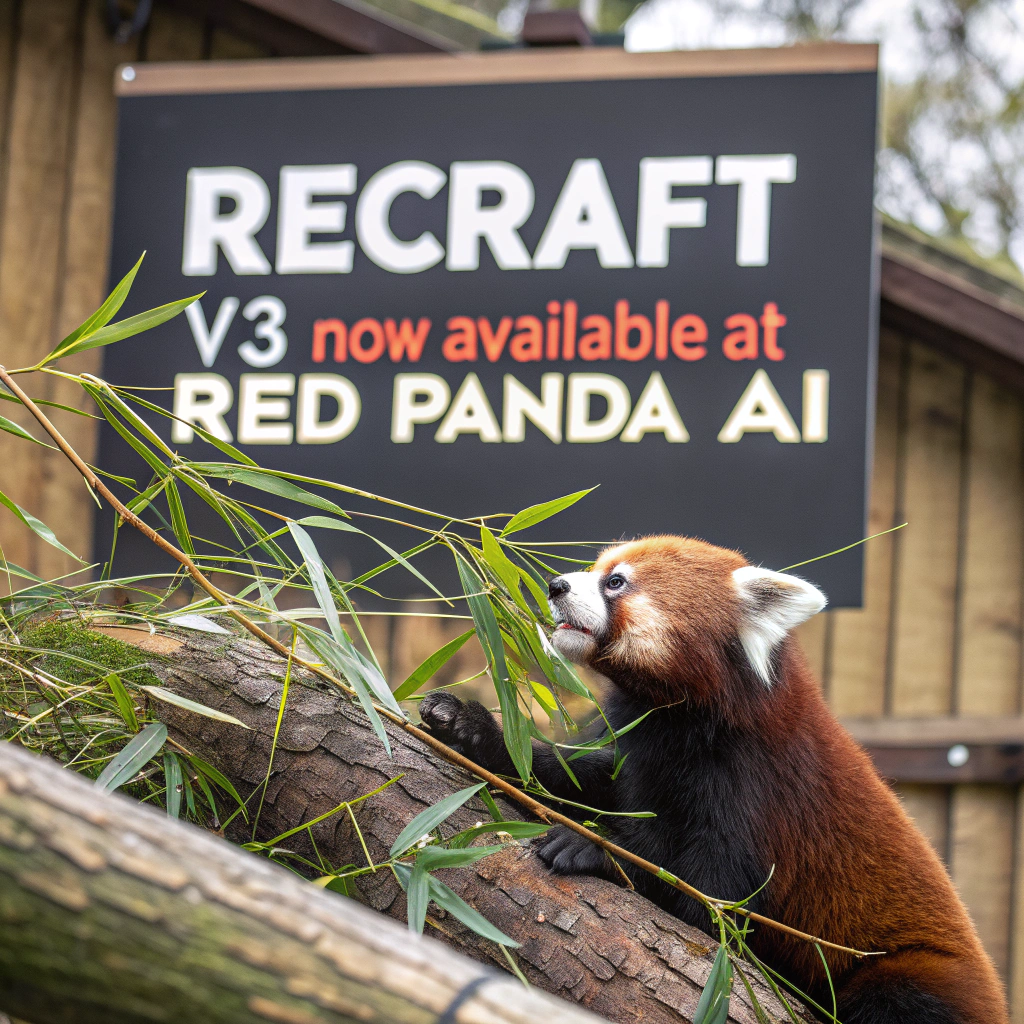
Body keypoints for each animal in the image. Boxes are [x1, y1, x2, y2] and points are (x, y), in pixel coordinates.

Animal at [420, 535, 1007, 1024]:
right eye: (597, 568)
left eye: (616, 582)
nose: (555, 585)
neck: (683, 717)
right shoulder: (637, 747)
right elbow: (579, 777)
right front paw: (472, 730)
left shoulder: (754, 788)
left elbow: (710, 900)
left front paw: (598, 845)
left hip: (915, 972)